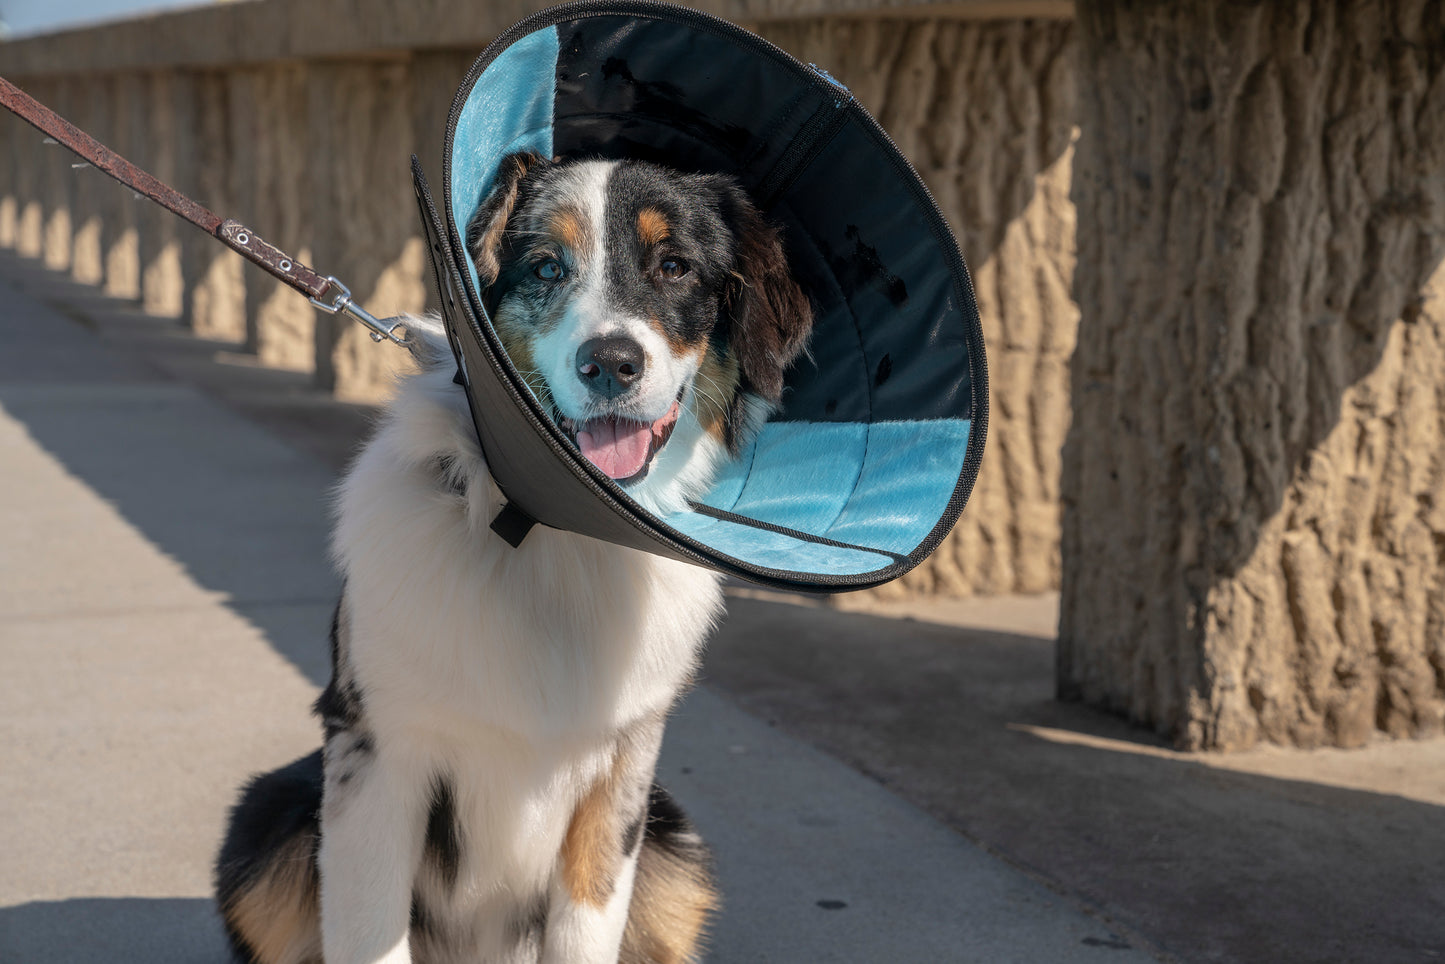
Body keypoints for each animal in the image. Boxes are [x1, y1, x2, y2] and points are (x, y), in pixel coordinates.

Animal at [219, 152, 820, 964]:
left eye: (675, 266)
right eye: (545, 267)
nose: (610, 364)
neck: (551, 533)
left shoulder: (623, 772)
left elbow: (586, 928)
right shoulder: (377, 751)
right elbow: (371, 930)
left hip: (676, 852)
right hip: (267, 824)